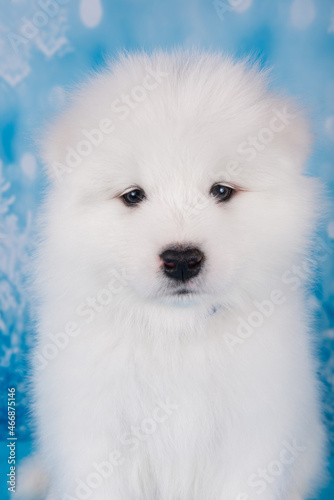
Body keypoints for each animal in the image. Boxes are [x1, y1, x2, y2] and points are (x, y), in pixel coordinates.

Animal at [30, 51, 328, 500]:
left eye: (221, 191)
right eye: (133, 196)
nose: (182, 260)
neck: (177, 329)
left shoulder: (252, 438)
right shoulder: (99, 437)